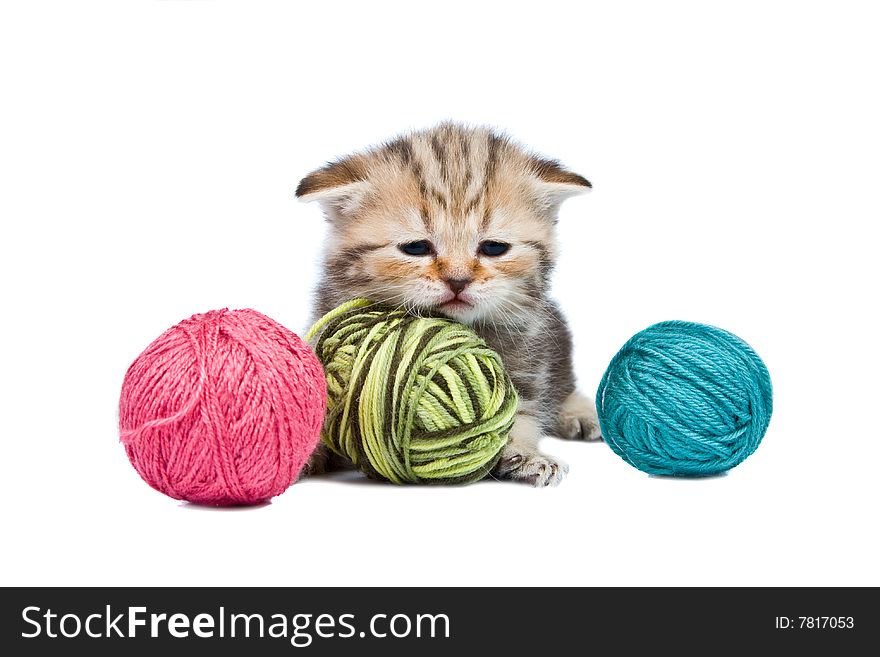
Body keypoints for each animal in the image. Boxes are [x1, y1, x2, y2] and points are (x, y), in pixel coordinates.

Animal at [296, 121, 600, 486]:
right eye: (415, 247)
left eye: (494, 248)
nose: (458, 281)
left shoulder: (529, 354)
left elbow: (520, 411)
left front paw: (526, 453)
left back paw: (581, 413)